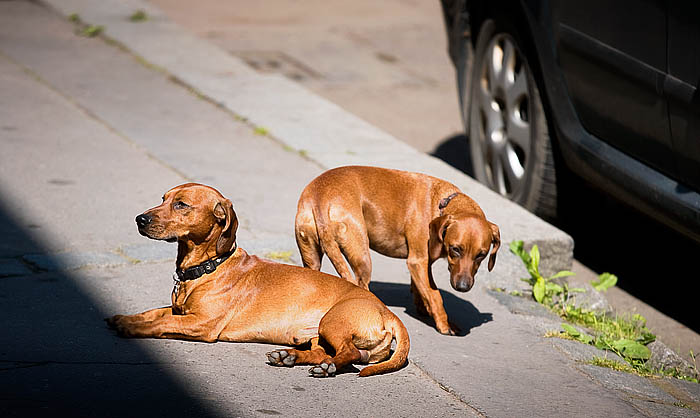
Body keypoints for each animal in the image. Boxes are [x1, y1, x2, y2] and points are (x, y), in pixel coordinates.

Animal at [106, 183, 408, 376]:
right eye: (163, 198)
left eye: (181, 204)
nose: (140, 219)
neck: (209, 267)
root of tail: (388, 313)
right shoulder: (180, 311)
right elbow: (152, 313)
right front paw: (126, 318)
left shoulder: (201, 323)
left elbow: (162, 323)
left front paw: (131, 328)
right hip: (316, 335)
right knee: (327, 352)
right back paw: (290, 357)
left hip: (333, 322)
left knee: (351, 354)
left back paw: (325, 368)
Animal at [292, 165, 500, 334]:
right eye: (455, 249)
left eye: (481, 255)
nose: (463, 287)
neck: (441, 203)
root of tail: (319, 197)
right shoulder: (418, 261)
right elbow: (435, 295)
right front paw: (444, 324)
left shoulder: (420, 265)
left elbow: (421, 290)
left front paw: (424, 308)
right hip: (362, 259)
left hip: (312, 258)